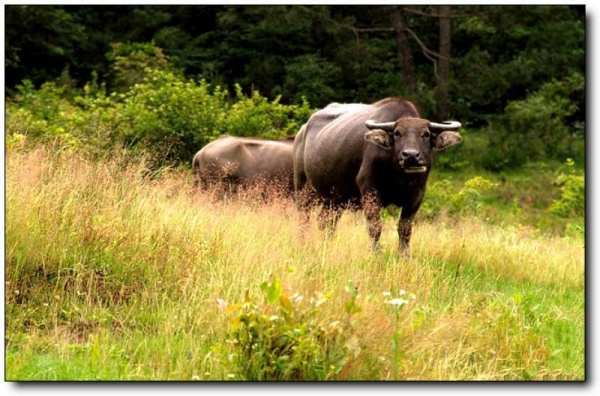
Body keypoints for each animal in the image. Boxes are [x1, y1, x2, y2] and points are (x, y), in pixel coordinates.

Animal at [292, 97, 462, 255]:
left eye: (426, 134)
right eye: (397, 133)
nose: (411, 155)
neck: (400, 177)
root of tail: (302, 132)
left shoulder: (417, 195)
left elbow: (405, 228)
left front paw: (404, 255)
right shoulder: (370, 190)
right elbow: (375, 225)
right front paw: (376, 252)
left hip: (335, 197)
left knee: (325, 220)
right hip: (304, 188)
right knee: (304, 217)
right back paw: (302, 242)